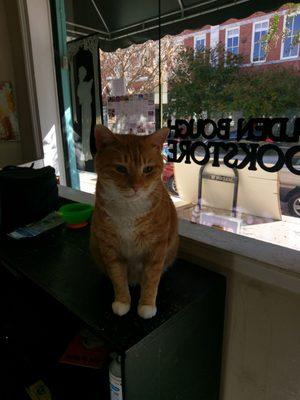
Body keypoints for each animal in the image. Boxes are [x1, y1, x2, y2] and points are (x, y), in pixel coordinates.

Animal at [89, 125, 178, 318]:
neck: (129, 209)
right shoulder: (109, 248)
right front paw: (122, 301)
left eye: (148, 169)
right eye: (120, 168)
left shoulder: (156, 248)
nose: (136, 187)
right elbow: (117, 277)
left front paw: (147, 305)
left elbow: (152, 279)